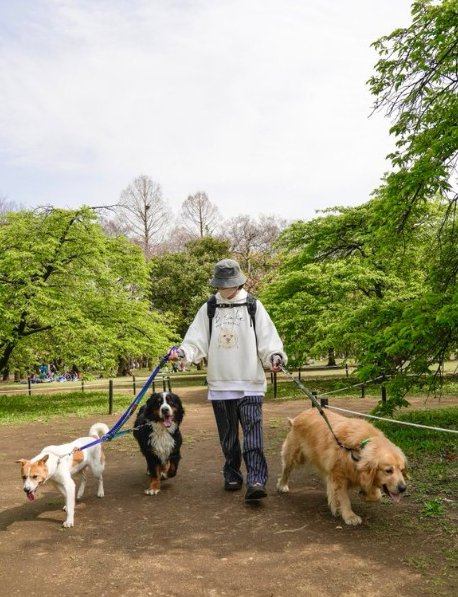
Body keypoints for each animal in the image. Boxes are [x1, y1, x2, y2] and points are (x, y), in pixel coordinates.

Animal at [276, 408, 408, 524]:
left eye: (401, 470)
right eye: (388, 470)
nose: (403, 488)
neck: (358, 448)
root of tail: (298, 417)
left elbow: (377, 495)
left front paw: (365, 495)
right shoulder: (338, 477)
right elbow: (344, 498)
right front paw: (350, 516)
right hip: (294, 455)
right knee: (286, 470)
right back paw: (282, 485)